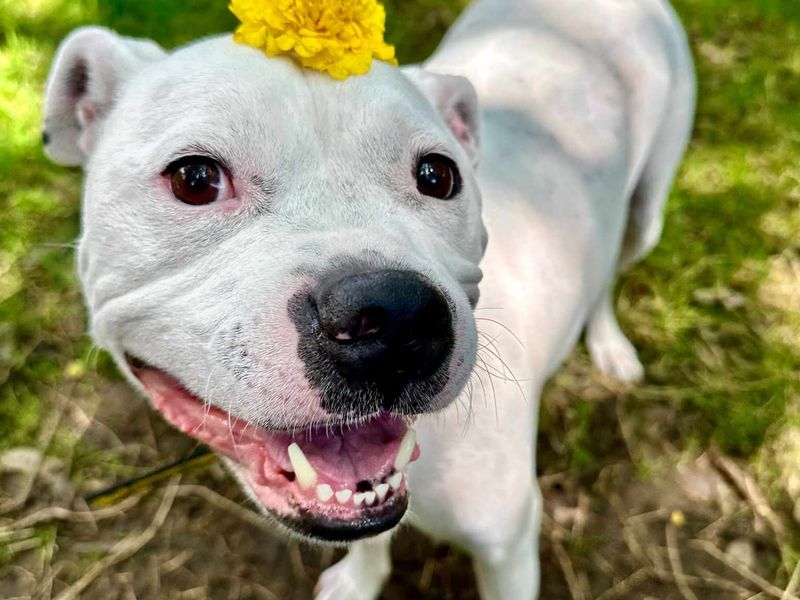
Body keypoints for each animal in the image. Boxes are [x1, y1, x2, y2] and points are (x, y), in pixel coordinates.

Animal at [43, 0, 692, 596]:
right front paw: (359, 578)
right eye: (194, 178)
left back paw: (610, 345)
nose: (394, 317)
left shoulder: (509, 547)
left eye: (438, 176)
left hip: (647, 210)